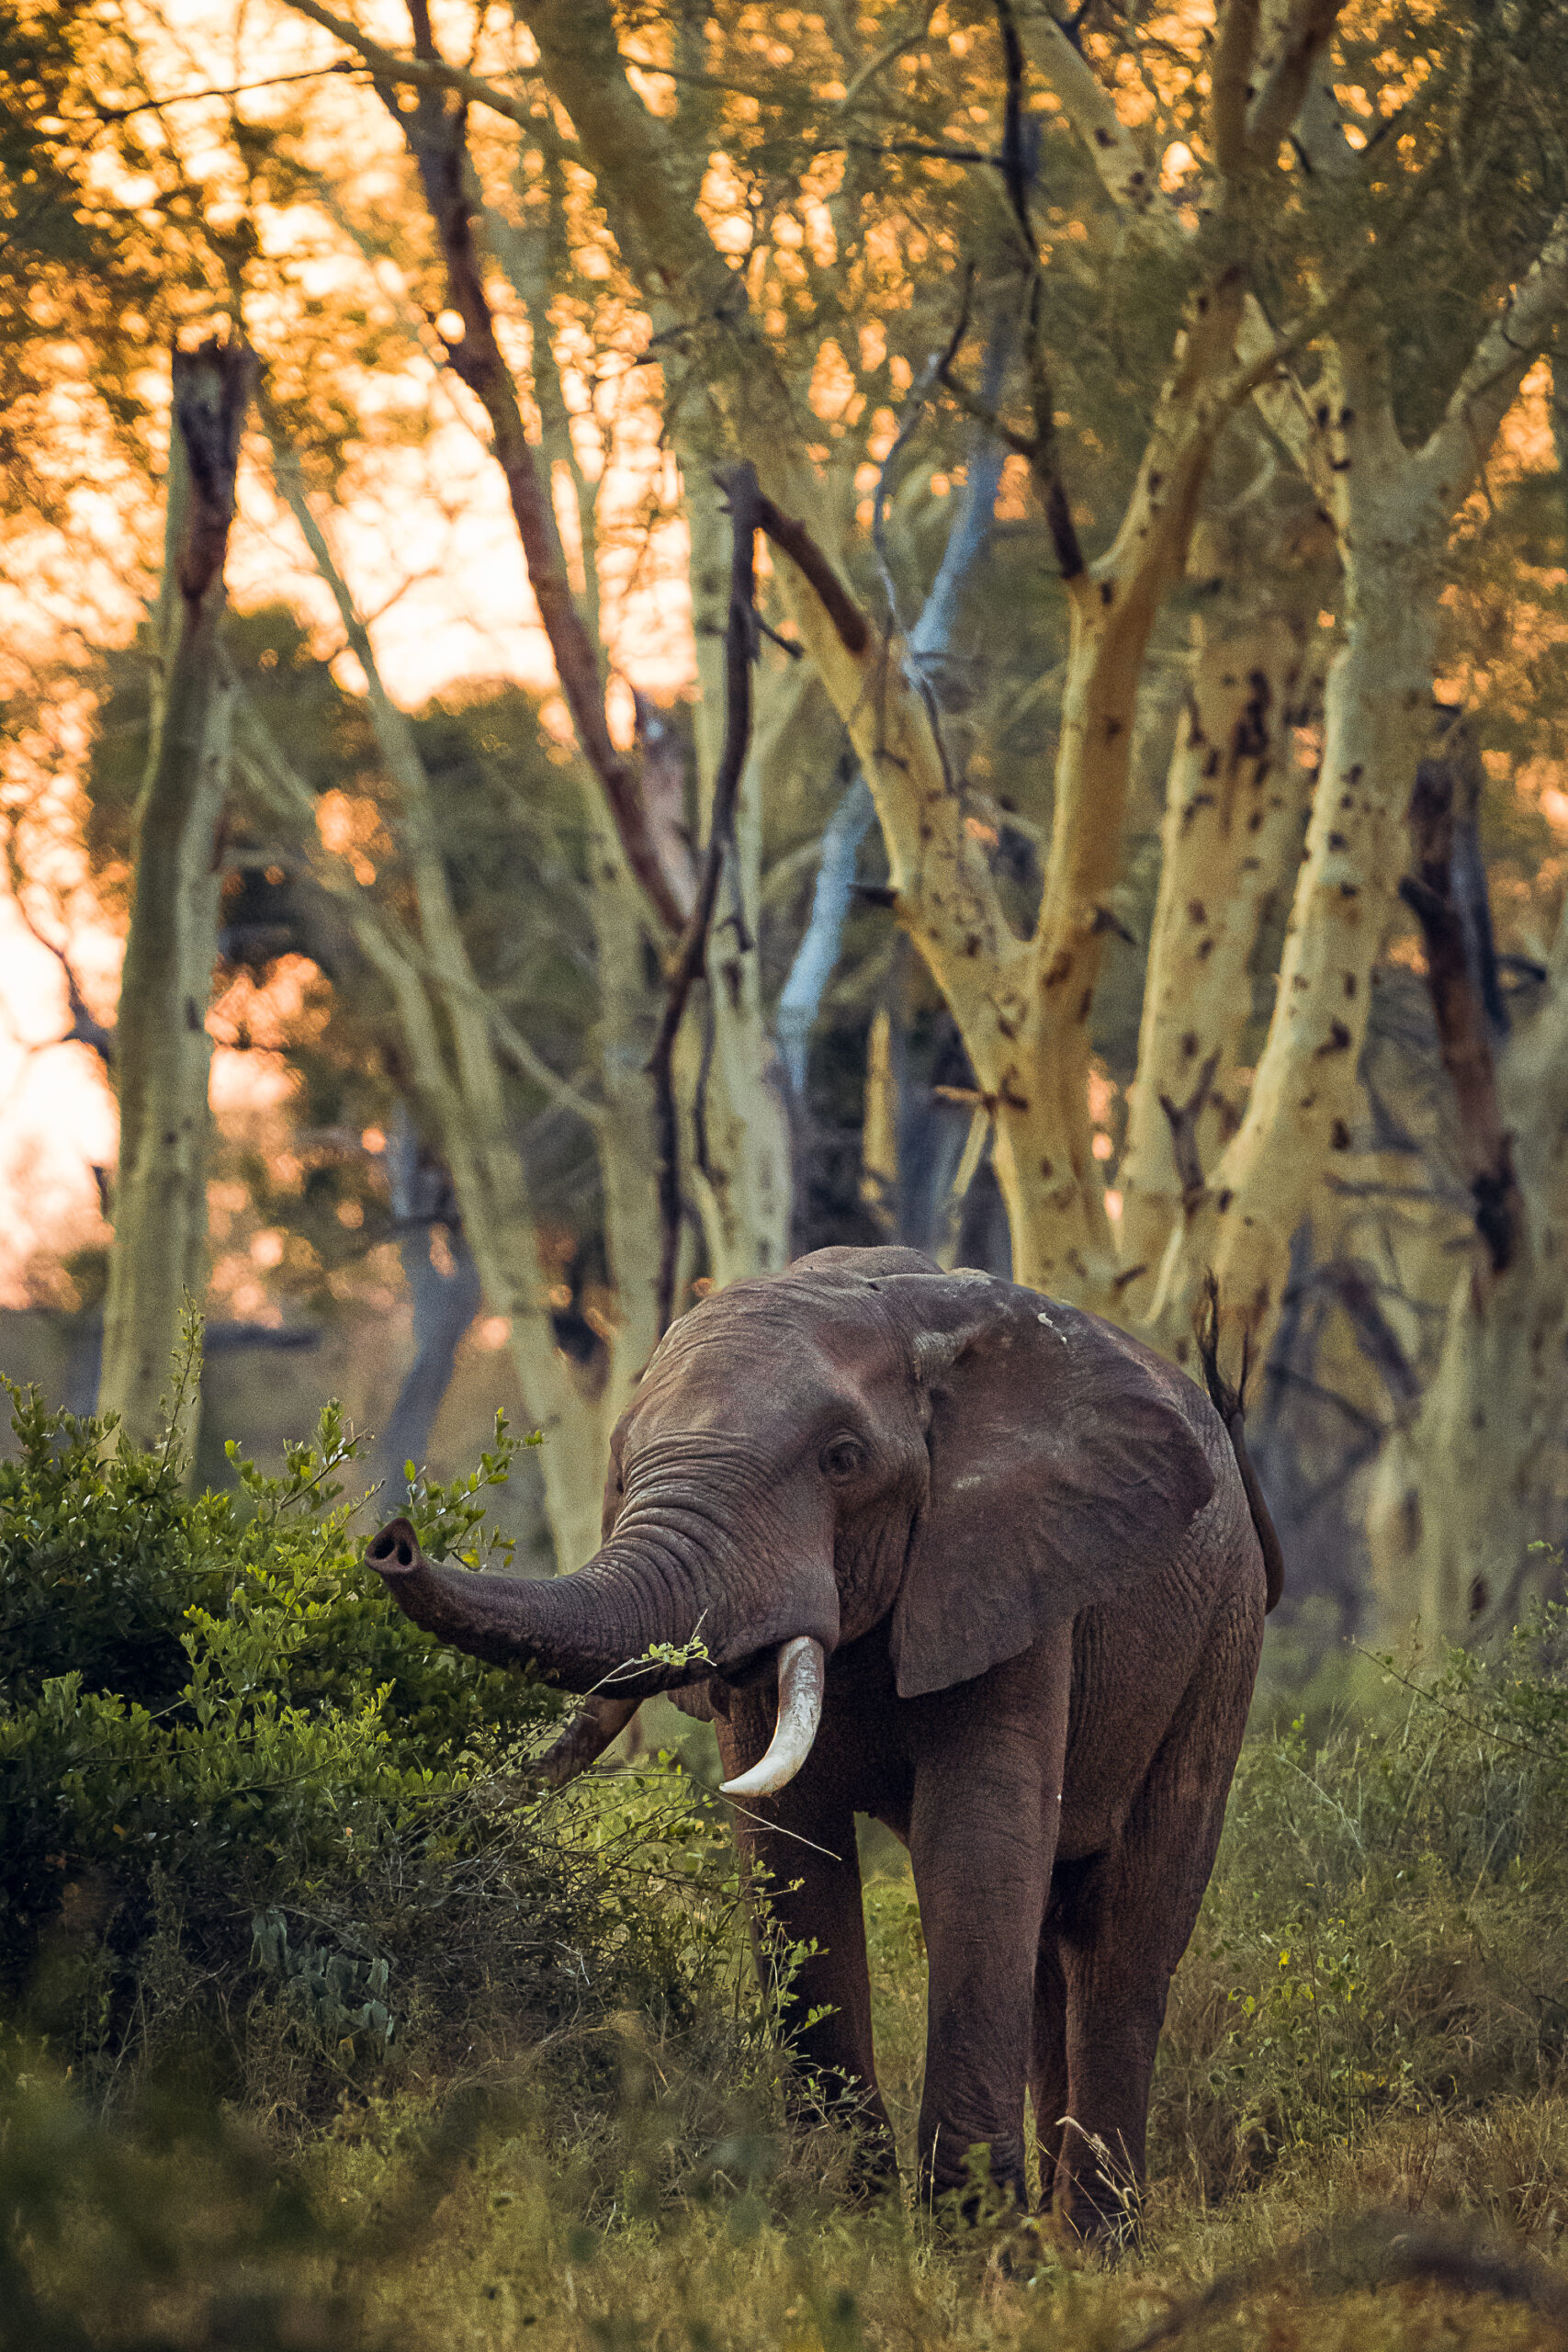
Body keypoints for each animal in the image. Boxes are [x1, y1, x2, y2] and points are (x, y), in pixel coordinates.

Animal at [366, 1244, 1281, 2232]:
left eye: (842, 1461)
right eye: (621, 1466)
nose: (391, 1542)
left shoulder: (1013, 1566)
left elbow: (976, 1838)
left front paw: (967, 2233)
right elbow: (789, 1853)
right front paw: (851, 2213)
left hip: (1220, 1638)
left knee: (1125, 1933)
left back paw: (1087, 2242)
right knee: (1049, 1937)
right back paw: (1051, 2234)